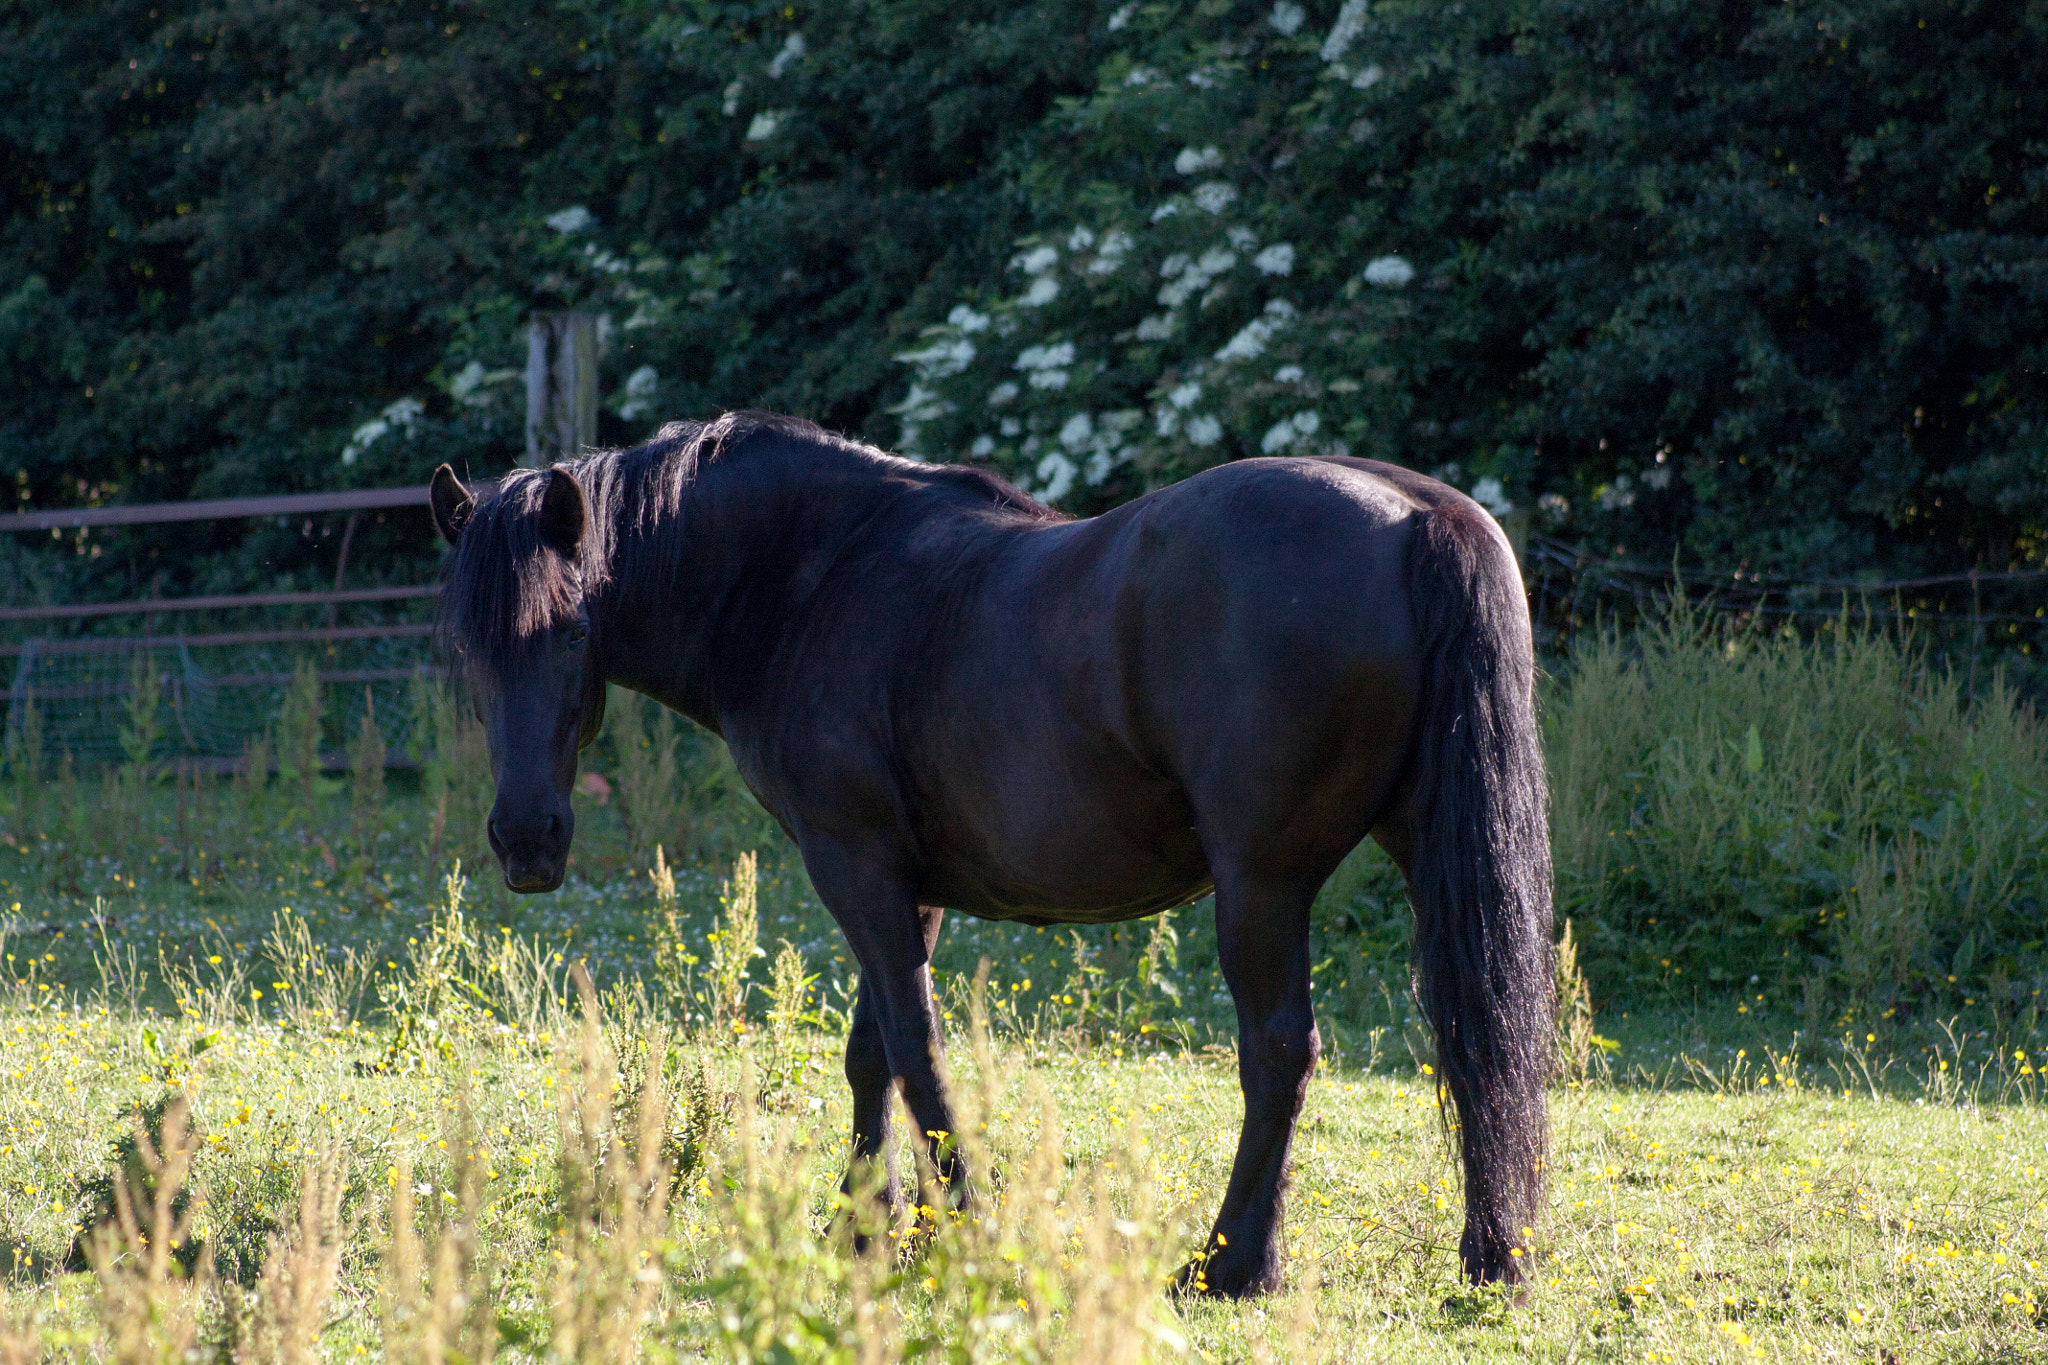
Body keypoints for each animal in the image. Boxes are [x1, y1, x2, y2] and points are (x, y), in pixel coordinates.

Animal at [432, 411, 1548, 1301]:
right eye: (464, 646)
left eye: (573, 629)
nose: (525, 842)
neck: (811, 576)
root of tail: (1415, 515)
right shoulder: (902, 882)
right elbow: (871, 1053)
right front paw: (865, 1233)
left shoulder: (854, 863)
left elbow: (916, 1051)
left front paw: (964, 1229)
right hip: (1418, 855)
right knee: (1471, 1034)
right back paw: (1489, 1252)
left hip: (1261, 887)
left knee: (1278, 1052)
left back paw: (1231, 1264)